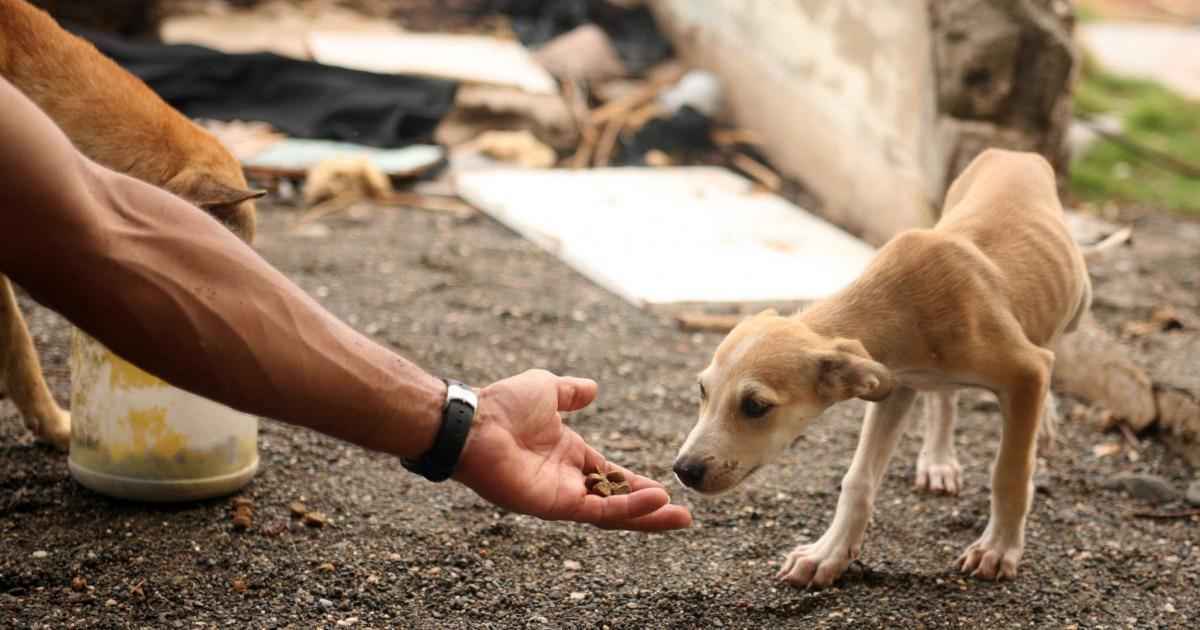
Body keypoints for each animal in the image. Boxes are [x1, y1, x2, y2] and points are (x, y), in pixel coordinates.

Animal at [681, 150, 1094, 588]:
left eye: (756, 406)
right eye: (703, 391)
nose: (682, 470)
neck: (901, 302)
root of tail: (1014, 153)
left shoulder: (1026, 372)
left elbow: (1009, 472)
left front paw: (997, 548)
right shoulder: (893, 385)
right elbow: (857, 481)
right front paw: (828, 554)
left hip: (1077, 304)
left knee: (1052, 342)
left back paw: (1042, 422)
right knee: (945, 397)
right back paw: (938, 461)